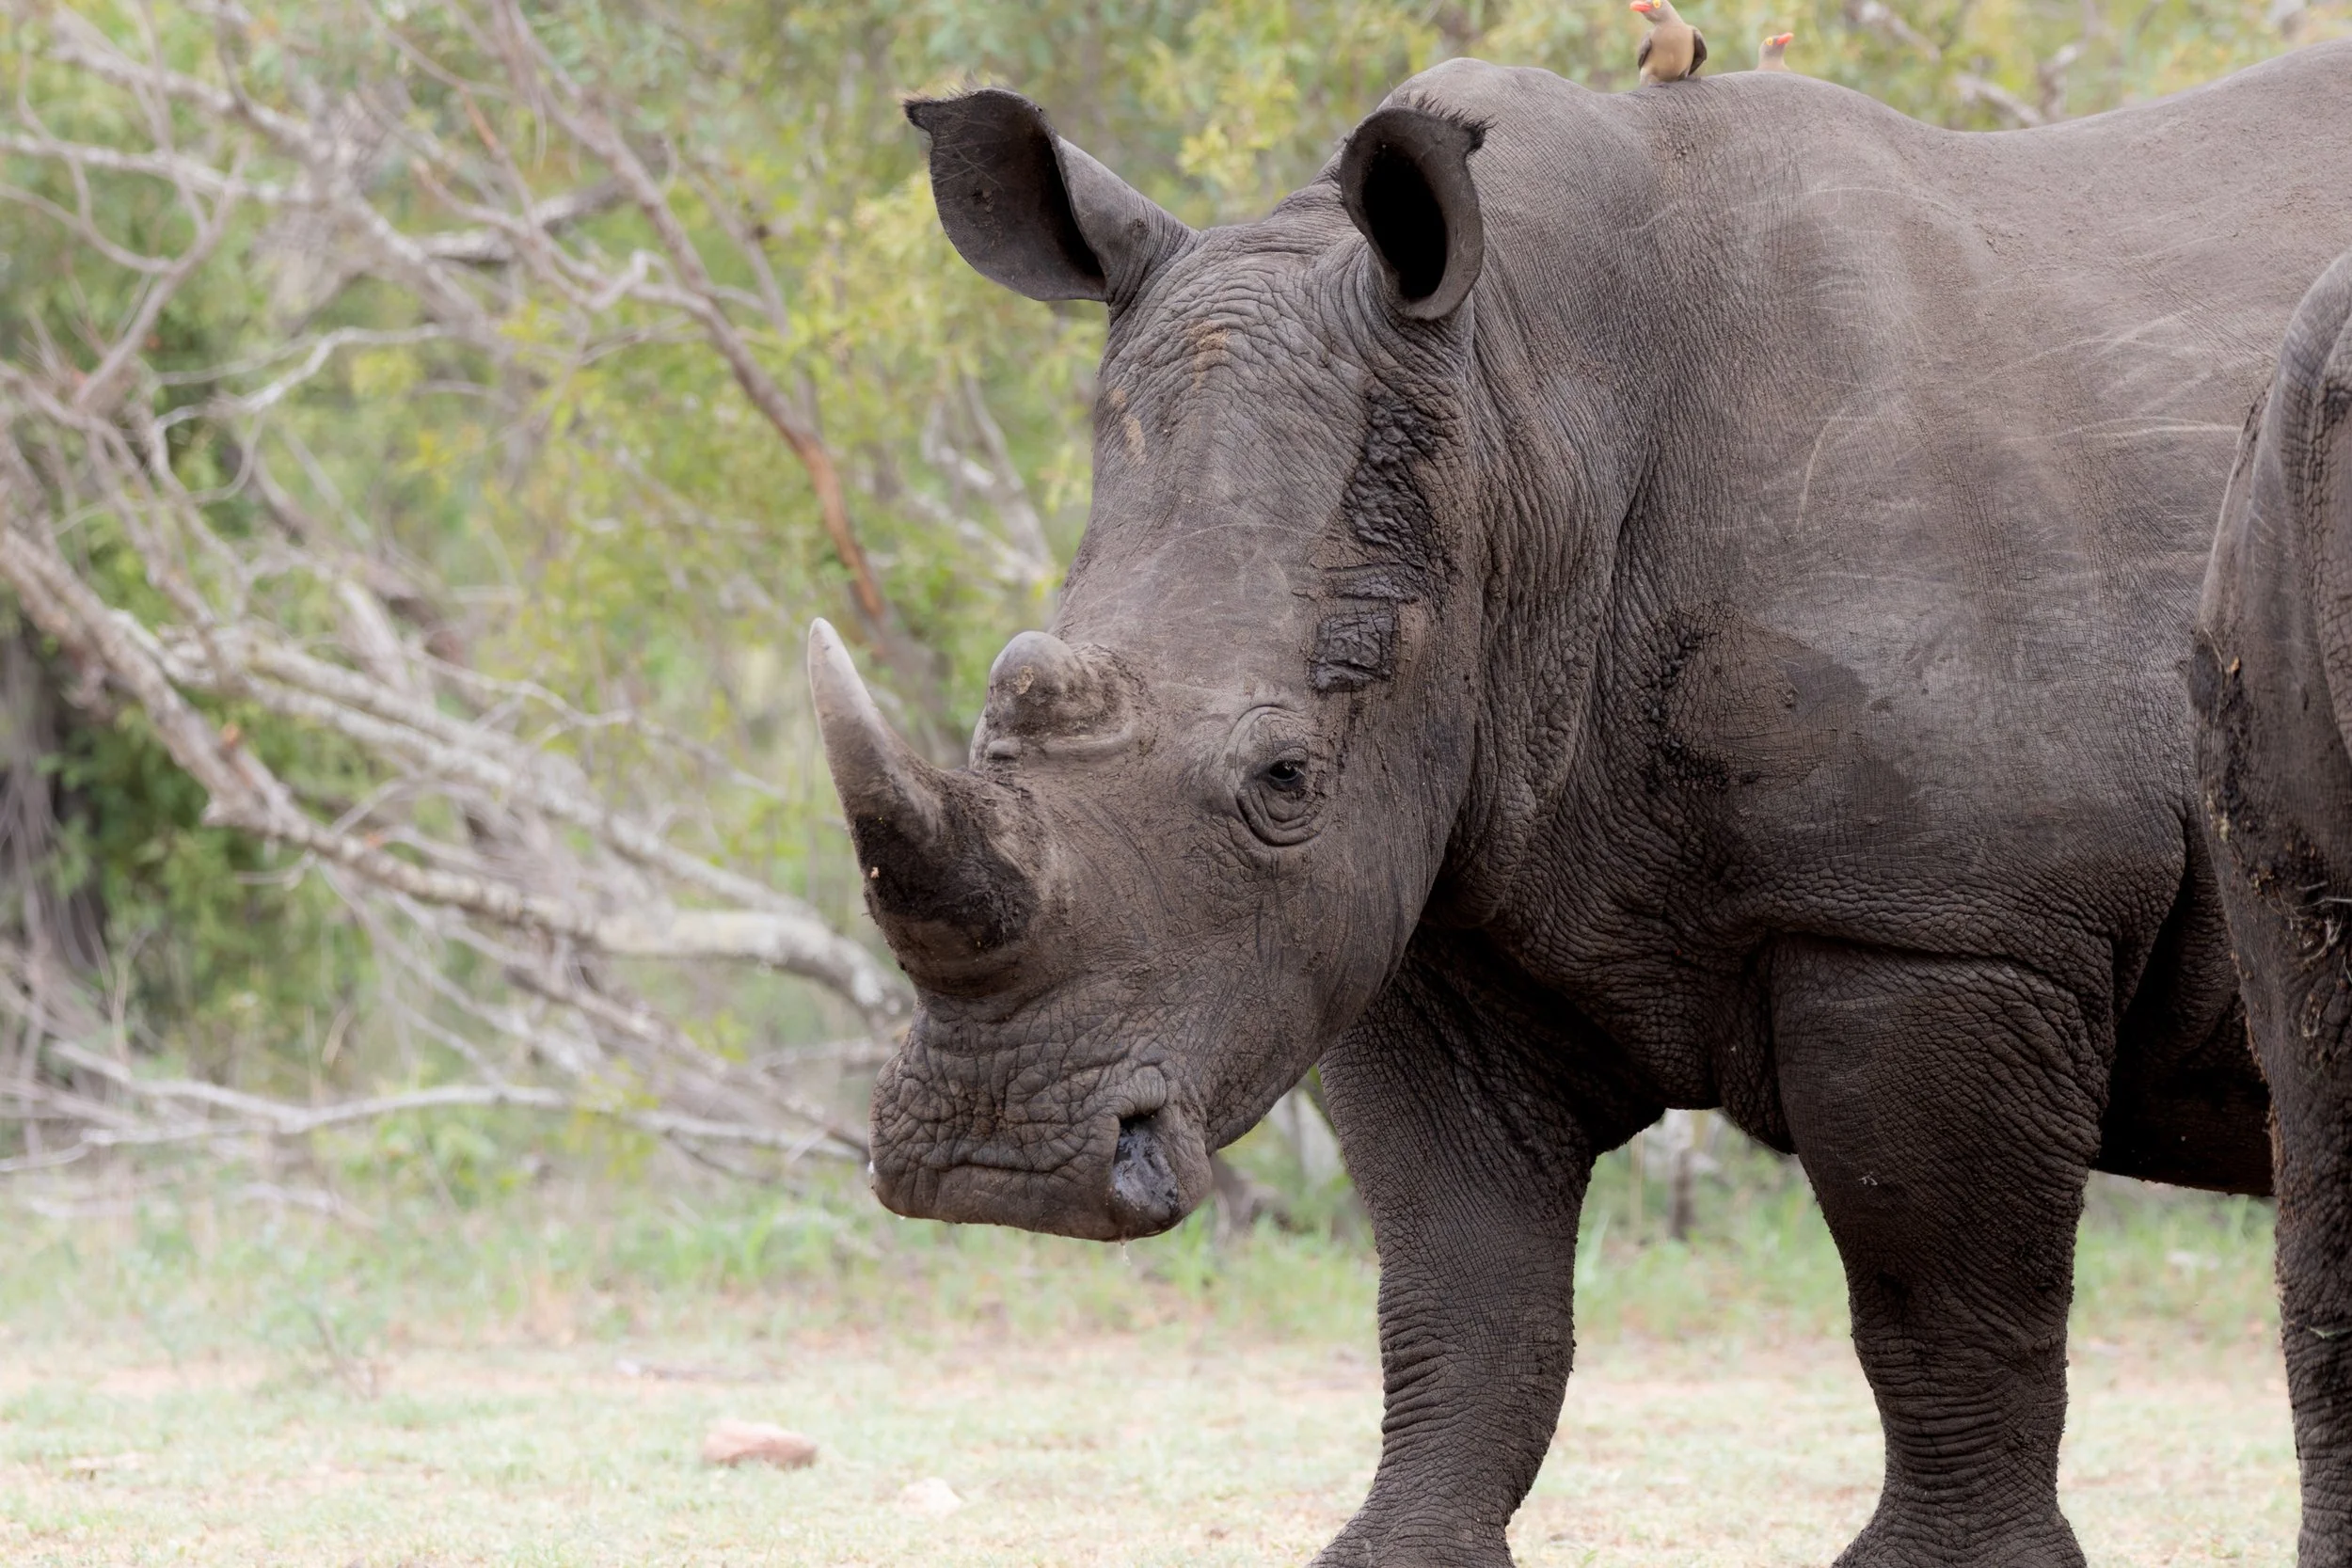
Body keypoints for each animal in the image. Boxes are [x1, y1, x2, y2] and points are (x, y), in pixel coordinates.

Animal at [810, 44, 2352, 1566]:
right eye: (999, 714)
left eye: (1283, 779)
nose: (995, 1159)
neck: (1523, 405)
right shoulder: (1429, 890)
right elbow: (1463, 1291)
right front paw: (1397, 1549)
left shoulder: (1944, 916)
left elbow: (1944, 1296)